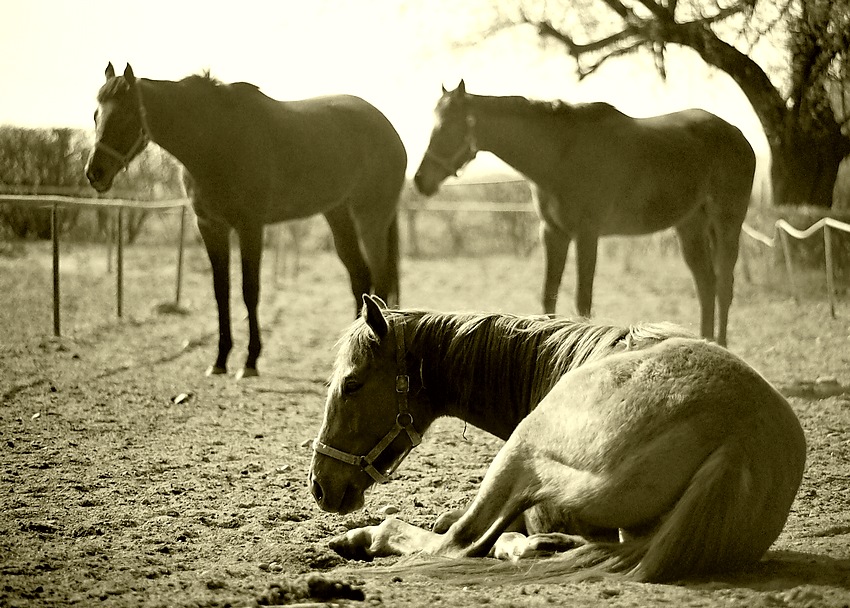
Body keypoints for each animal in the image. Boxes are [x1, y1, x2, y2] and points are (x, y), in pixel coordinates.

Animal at [87, 61, 408, 376]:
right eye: (95, 115)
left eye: (125, 116)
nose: (94, 173)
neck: (216, 140)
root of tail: (389, 129)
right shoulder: (210, 227)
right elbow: (221, 292)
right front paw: (219, 360)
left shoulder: (250, 227)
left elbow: (249, 291)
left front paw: (250, 361)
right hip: (338, 216)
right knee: (360, 277)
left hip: (371, 218)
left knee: (380, 278)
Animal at [414, 81, 752, 346]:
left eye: (445, 128)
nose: (420, 180)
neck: (560, 154)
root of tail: (738, 135)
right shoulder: (553, 233)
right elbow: (548, 296)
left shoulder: (587, 234)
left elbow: (582, 302)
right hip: (689, 227)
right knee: (706, 285)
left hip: (727, 225)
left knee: (724, 287)